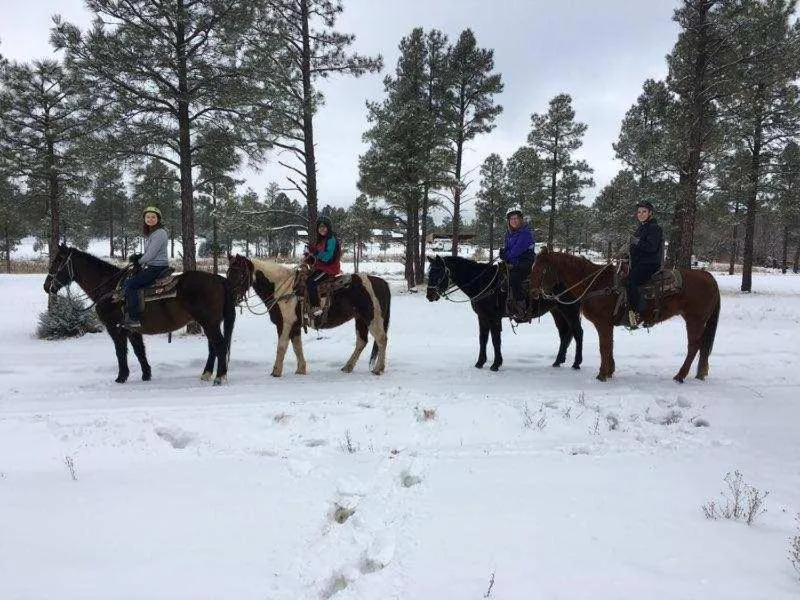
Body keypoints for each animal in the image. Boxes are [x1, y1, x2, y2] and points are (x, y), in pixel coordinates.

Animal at [43, 244, 236, 385]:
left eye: (58, 260)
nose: (47, 286)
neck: (110, 289)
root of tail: (219, 279)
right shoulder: (132, 329)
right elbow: (139, 351)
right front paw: (146, 374)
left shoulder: (115, 328)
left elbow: (121, 352)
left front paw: (121, 377)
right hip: (210, 322)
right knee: (213, 346)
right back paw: (207, 374)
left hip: (208, 322)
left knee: (219, 345)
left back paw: (219, 377)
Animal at [226, 254, 390, 376]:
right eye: (228, 273)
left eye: (241, 273)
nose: (231, 296)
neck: (283, 289)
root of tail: (380, 282)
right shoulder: (295, 326)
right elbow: (297, 347)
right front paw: (301, 369)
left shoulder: (285, 324)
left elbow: (282, 346)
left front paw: (276, 372)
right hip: (360, 319)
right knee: (362, 341)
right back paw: (348, 367)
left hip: (372, 319)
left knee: (381, 339)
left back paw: (378, 369)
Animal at [425, 255, 584, 372]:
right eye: (429, 272)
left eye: (438, 273)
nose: (429, 296)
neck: (483, 283)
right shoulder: (482, 317)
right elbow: (483, 339)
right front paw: (480, 362)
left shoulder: (494, 318)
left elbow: (496, 340)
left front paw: (496, 364)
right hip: (557, 311)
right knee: (564, 334)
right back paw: (558, 361)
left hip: (570, 310)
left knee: (578, 333)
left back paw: (576, 363)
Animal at [529, 248, 721, 382]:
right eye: (533, 267)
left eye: (542, 269)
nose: (532, 292)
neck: (597, 284)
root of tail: (708, 276)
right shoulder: (608, 324)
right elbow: (610, 346)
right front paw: (610, 371)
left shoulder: (603, 323)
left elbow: (604, 346)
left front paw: (602, 374)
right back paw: (698, 374)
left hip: (695, 320)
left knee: (694, 346)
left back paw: (680, 376)